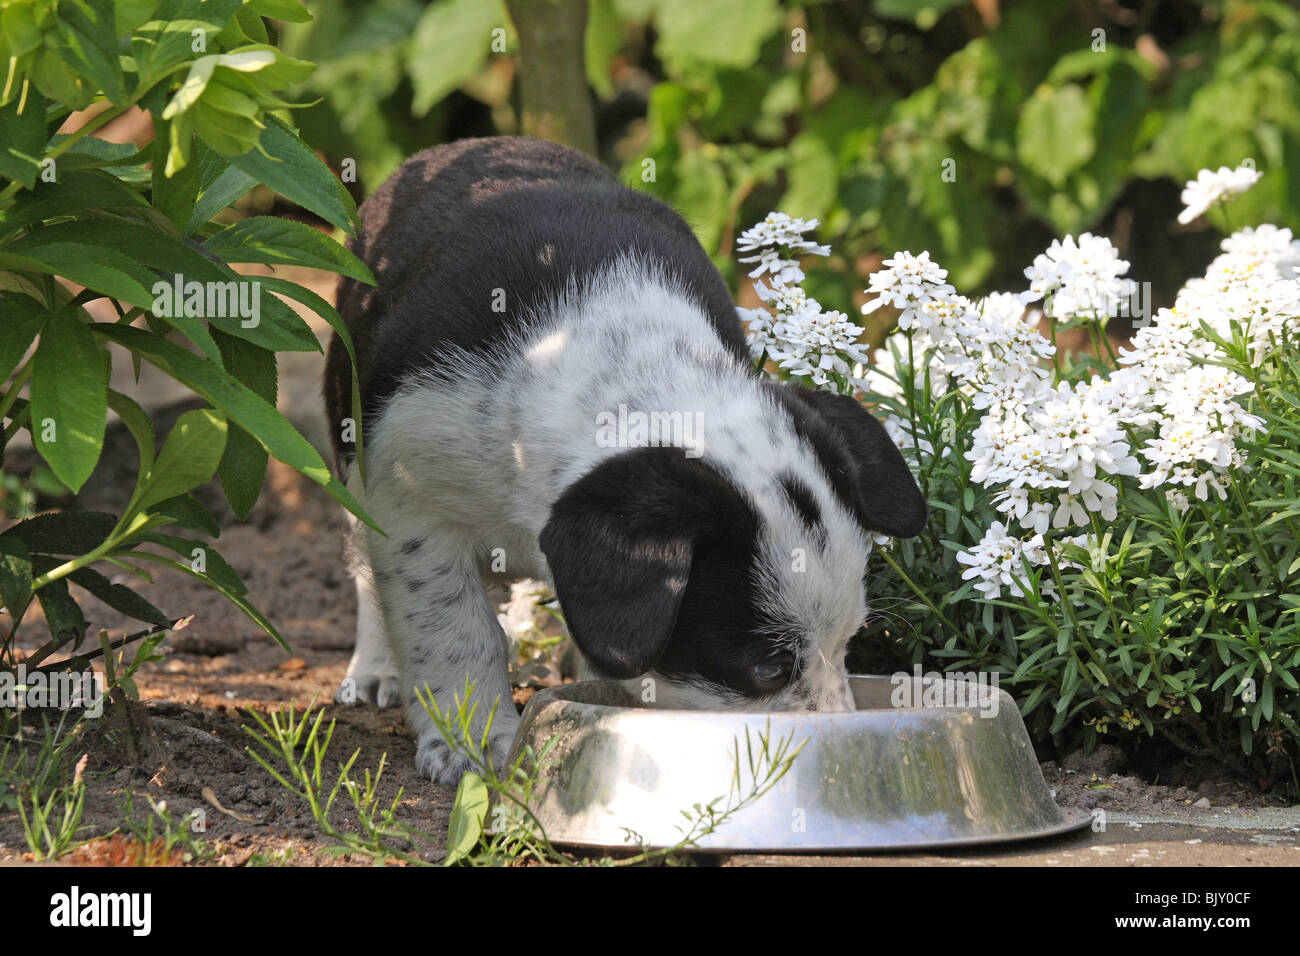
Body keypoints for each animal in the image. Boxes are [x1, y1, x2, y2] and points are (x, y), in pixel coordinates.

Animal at [323, 136, 925, 785]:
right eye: (765, 670)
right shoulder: (405, 496)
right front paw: (472, 746)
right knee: (365, 566)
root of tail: (461, 145)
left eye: (849, 642)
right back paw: (375, 672)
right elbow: (454, 627)